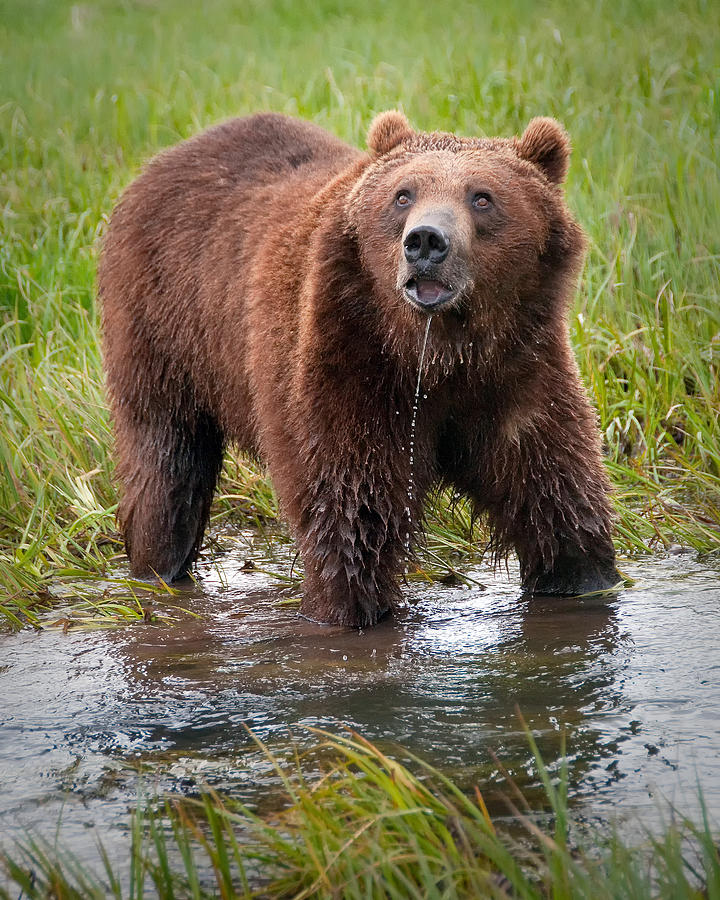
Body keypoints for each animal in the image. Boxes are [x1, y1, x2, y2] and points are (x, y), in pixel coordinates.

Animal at [98, 110, 620, 624]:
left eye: (482, 197)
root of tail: (164, 160)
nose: (426, 241)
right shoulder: (353, 363)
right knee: (166, 462)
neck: (437, 351)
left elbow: (550, 482)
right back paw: (159, 568)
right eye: (403, 195)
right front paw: (347, 607)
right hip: (163, 328)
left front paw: (585, 579)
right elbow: (352, 501)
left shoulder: (516, 369)